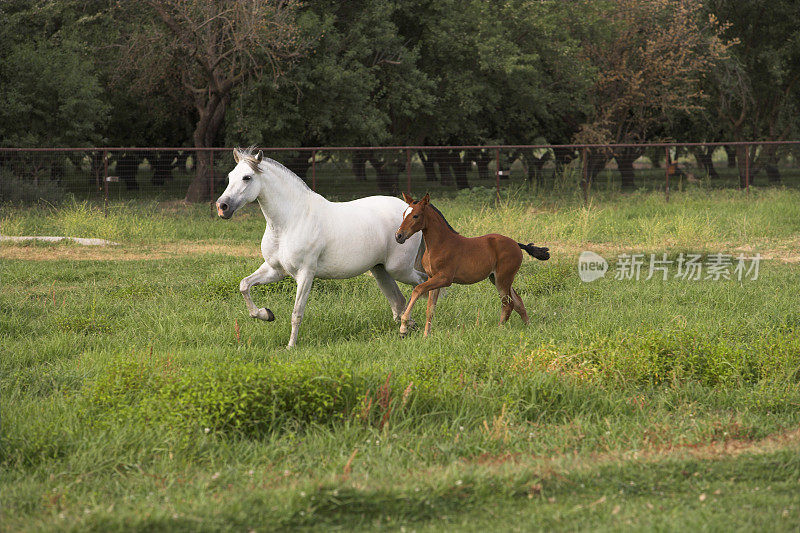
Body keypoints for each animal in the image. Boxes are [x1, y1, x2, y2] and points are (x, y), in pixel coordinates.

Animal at [212, 147, 424, 344]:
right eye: (230, 176)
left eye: (247, 177)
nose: (222, 207)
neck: (290, 221)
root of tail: (409, 210)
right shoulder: (275, 270)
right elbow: (244, 285)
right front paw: (267, 314)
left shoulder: (305, 274)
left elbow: (296, 313)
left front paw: (290, 346)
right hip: (380, 270)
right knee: (399, 300)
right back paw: (407, 327)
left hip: (399, 269)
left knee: (422, 283)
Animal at [396, 193, 552, 336]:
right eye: (404, 214)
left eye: (415, 216)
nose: (399, 236)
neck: (440, 244)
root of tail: (517, 244)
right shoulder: (432, 277)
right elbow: (430, 309)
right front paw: (426, 336)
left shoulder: (444, 278)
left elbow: (418, 289)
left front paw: (403, 326)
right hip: (497, 278)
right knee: (518, 302)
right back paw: (528, 327)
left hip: (503, 279)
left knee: (508, 304)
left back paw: (499, 330)